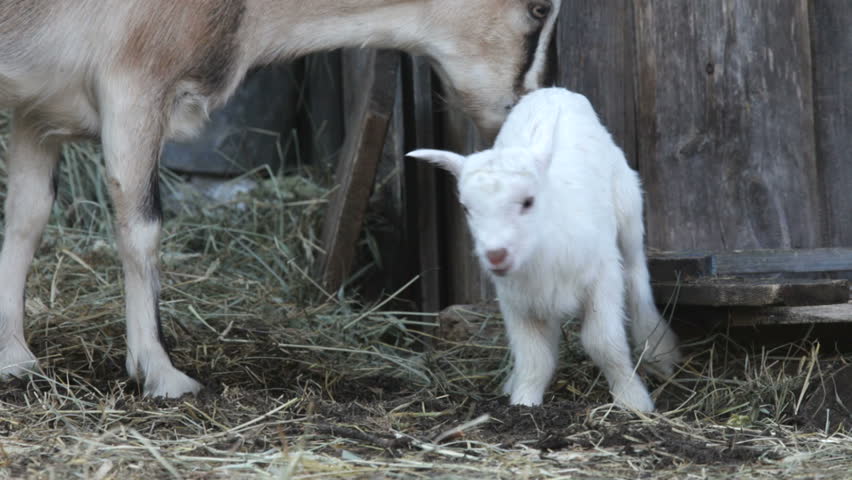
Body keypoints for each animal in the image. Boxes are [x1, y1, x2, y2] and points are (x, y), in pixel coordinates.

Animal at [0, 0, 561, 397]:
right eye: (538, 8)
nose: (525, 106)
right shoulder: (135, 85)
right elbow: (142, 229)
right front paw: (161, 374)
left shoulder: (37, 109)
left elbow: (26, 218)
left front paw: (14, 356)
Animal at [408, 88, 681, 412]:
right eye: (466, 208)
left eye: (528, 201)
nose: (496, 255)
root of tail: (552, 91)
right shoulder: (516, 300)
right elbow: (534, 356)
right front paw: (524, 402)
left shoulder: (602, 277)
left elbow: (604, 342)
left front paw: (633, 400)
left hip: (627, 208)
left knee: (637, 275)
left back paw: (657, 351)